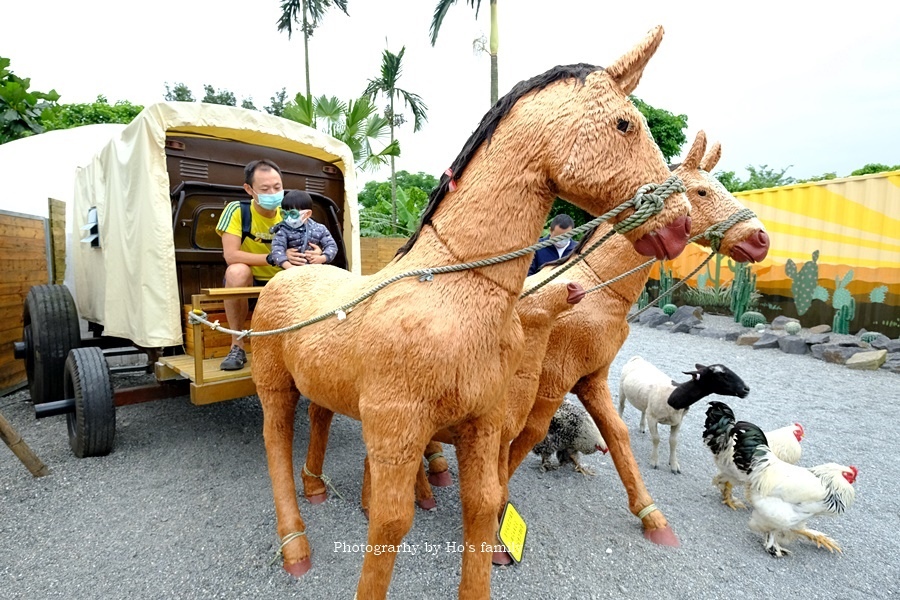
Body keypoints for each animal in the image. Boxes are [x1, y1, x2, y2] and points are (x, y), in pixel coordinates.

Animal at [616, 356, 748, 474]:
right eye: (720, 374)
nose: (746, 389)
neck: (673, 397)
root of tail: (637, 358)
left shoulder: (678, 421)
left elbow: (673, 442)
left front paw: (674, 465)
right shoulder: (652, 417)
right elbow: (656, 439)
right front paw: (654, 461)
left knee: (643, 410)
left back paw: (642, 427)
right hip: (622, 388)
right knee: (621, 406)